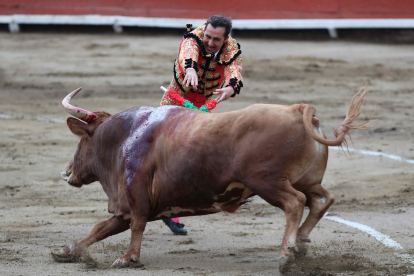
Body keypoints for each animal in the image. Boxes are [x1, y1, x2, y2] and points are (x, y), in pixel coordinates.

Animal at [52, 87, 372, 272]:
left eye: (81, 142)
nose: (66, 171)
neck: (125, 136)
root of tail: (299, 109)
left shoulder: (136, 199)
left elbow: (136, 226)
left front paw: (127, 258)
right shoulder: (125, 208)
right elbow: (99, 229)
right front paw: (67, 252)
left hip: (268, 182)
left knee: (296, 203)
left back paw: (286, 254)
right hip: (306, 180)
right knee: (322, 199)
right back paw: (302, 242)